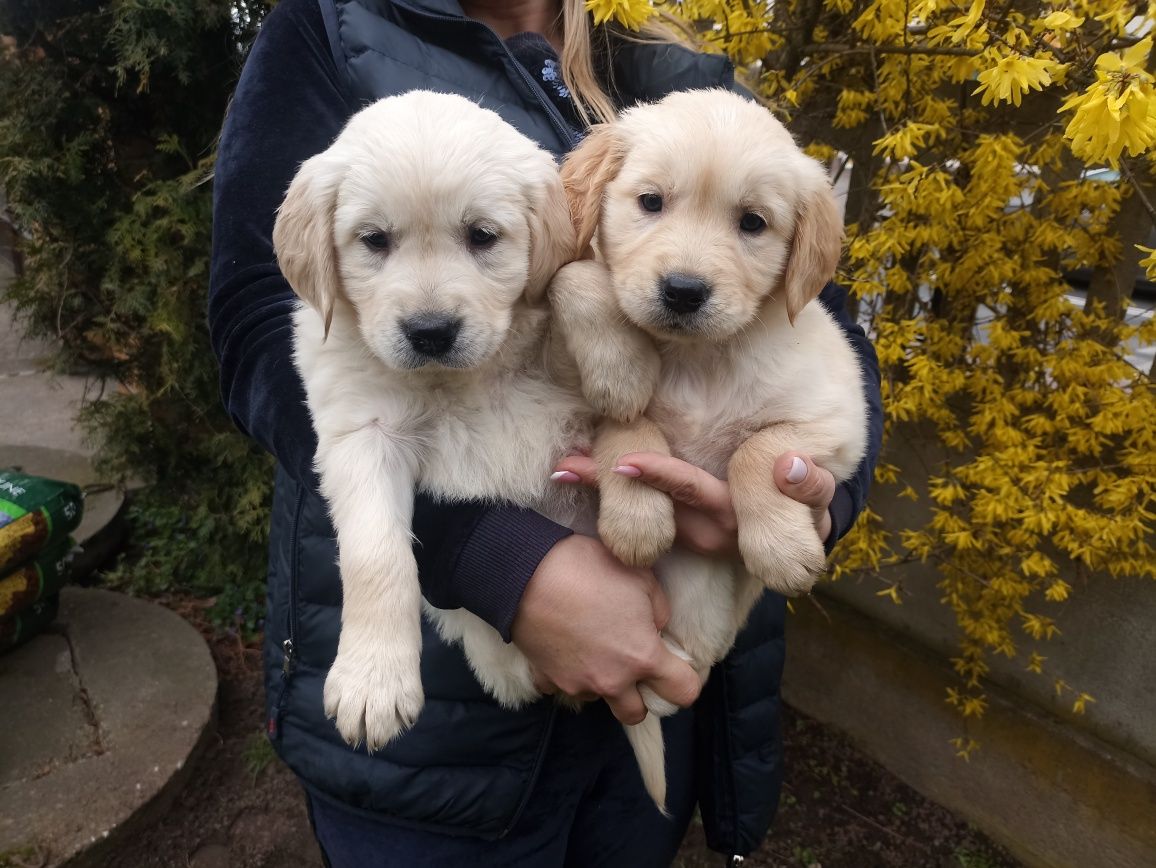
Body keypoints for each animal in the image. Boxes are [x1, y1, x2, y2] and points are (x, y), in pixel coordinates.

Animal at [275, 91, 591, 748]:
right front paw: (373, 680)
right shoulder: (361, 432)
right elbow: (376, 554)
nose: (430, 332)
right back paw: (510, 671)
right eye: (374, 240)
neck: (451, 383)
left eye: (482, 236)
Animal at [550, 88, 869, 809]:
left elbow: (757, 450)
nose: (684, 291)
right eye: (650, 202)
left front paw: (780, 548)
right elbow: (581, 290)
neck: (697, 360)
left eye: (753, 222)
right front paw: (637, 514)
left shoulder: (839, 419)